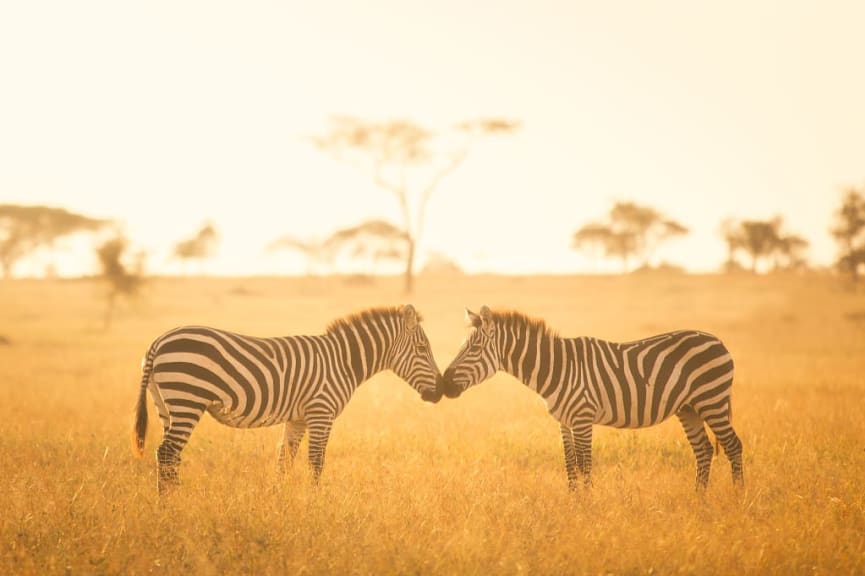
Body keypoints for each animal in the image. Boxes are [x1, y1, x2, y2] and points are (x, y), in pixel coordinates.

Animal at [132, 304, 442, 492]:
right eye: (422, 348)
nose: (440, 391)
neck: (343, 361)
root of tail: (158, 341)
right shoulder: (321, 412)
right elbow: (316, 461)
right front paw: (316, 505)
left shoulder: (298, 418)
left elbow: (284, 460)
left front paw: (279, 501)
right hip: (188, 398)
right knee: (167, 452)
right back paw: (170, 505)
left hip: (167, 405)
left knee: (169, 456)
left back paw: (172, 500)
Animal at [438, 306, 744, 490]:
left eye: (473, 349)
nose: (444, 384)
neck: (558, 368)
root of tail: (718, 341)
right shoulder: (563, 421)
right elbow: (570, 462)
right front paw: (574, 504)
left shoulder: (583, 417)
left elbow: (585, 463)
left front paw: (588, 506)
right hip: (689, 407)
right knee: (703, 450)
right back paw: (699, 500)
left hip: (711, 400)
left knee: (733, 446)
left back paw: (737, 499)